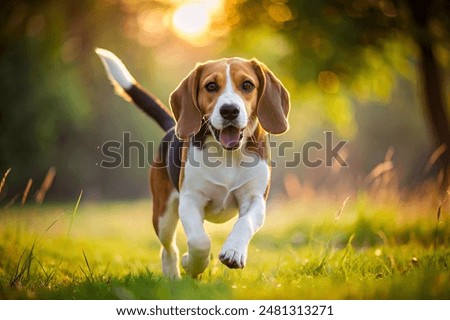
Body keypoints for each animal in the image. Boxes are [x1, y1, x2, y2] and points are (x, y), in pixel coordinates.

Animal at [96, 49, 290, 278]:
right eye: (211, 86)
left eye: (247, 85)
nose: (229, 110)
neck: (227, 155)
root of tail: (173, 126)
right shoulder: (190, 199)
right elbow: (200, 241)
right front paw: (192, 263)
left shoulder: (255, 199)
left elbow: (245, 223)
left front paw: (234, 251)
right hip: (163, 215)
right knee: (168, 248)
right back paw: (173, 276)